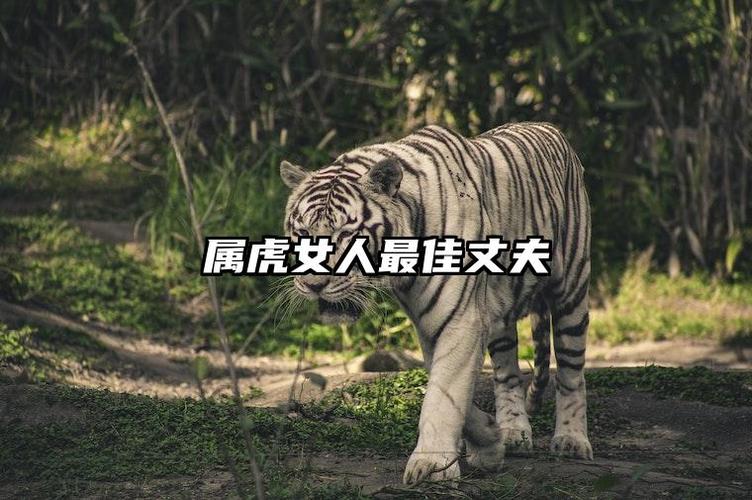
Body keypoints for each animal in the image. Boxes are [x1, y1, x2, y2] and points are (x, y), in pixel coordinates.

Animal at [279, 122, 592, 484]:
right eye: (302, 232)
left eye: (347, 234)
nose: (314, 284)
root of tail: (549, 127)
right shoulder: (434, 324)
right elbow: (452, 392)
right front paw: (490, 440)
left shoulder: (460, 319)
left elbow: (443, 397)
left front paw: (432, 465)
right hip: (500, 315)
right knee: (506, 373)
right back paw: (515, 433)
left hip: (571, 290)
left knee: (571, 372)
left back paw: (571, 440)